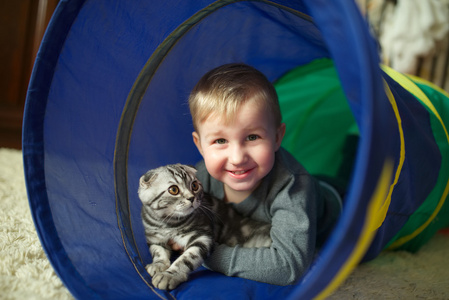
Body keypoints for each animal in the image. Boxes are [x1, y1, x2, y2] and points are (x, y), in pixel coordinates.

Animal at [137, 164, 270, 290]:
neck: (167, 224)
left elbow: (186, 259)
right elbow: (158, 251)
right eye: (173, 189)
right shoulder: (153, 238)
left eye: (194, 186)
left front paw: (169, 275)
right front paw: (158, 264)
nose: (191, 198)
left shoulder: (202, 237)